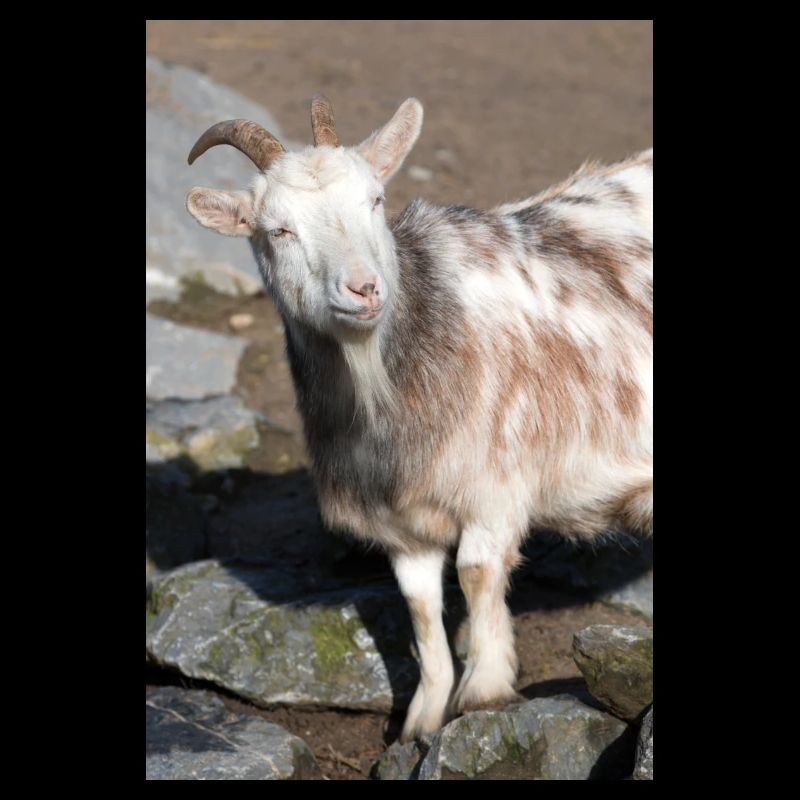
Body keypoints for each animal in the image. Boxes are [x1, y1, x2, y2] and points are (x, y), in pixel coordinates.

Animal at [185, 94, 653, 742]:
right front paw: (421, 719)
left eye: (376, 200)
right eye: (277, 229)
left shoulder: (494, 487)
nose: (363, 289)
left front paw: (483, 690)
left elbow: (477, 572)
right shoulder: (401, 522)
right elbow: (420, 607)